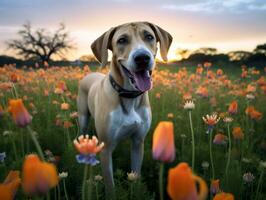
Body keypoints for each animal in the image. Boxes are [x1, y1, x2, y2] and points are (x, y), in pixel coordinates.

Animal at [77, 21, 172, 195]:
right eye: (122, 40)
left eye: (149, 36)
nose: (142, 58)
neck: (129, 96)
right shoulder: (106, 148)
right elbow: (110, 185)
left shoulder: (138, 142)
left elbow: (136, 173)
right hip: (83, 117)